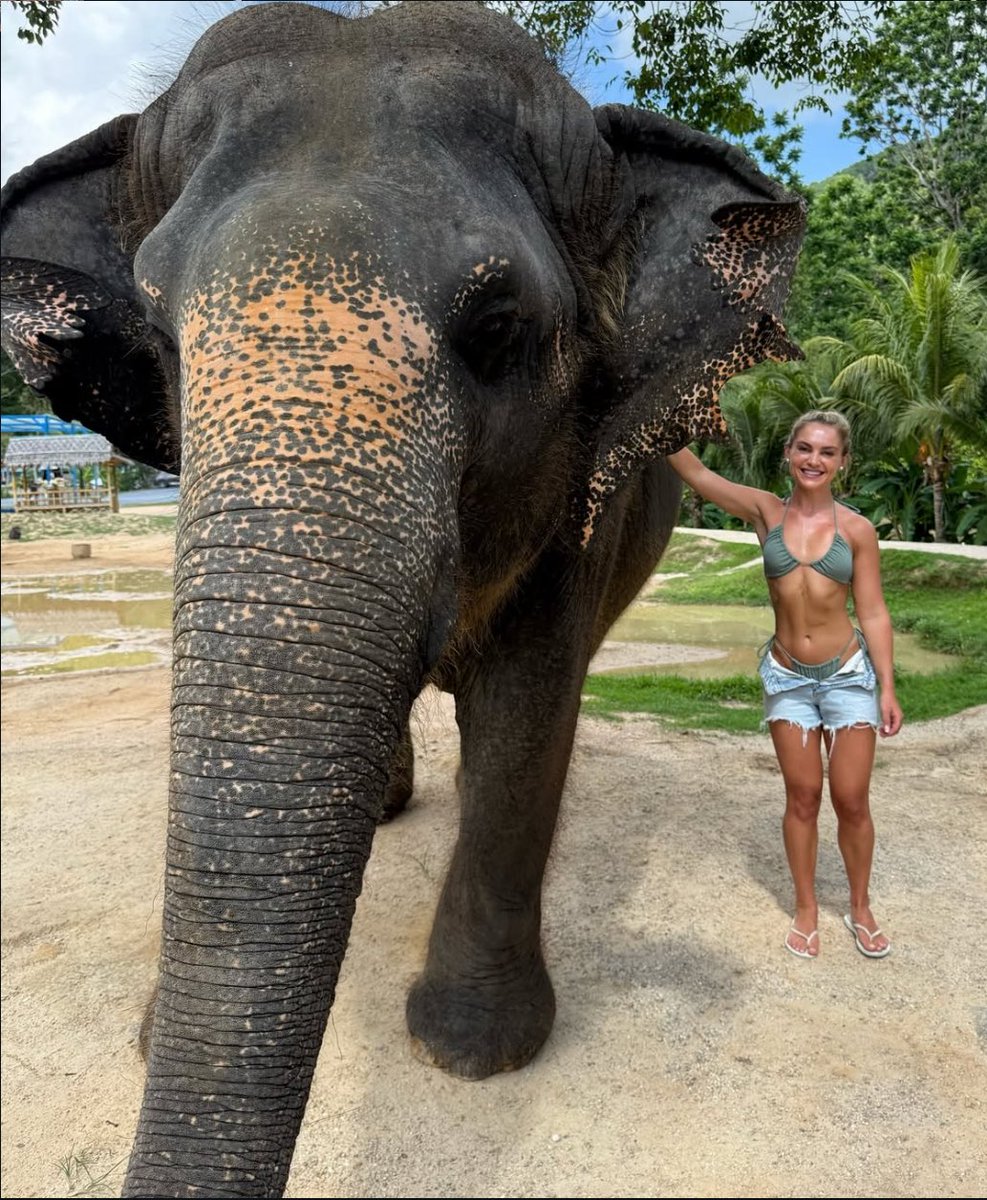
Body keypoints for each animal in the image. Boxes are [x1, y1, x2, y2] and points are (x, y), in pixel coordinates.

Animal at [0, 2, 804, 1195]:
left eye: (499, 329)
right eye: (162, 336)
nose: (148, 1042)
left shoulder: (582, 502)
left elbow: (525, 719)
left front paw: (474, 1051)